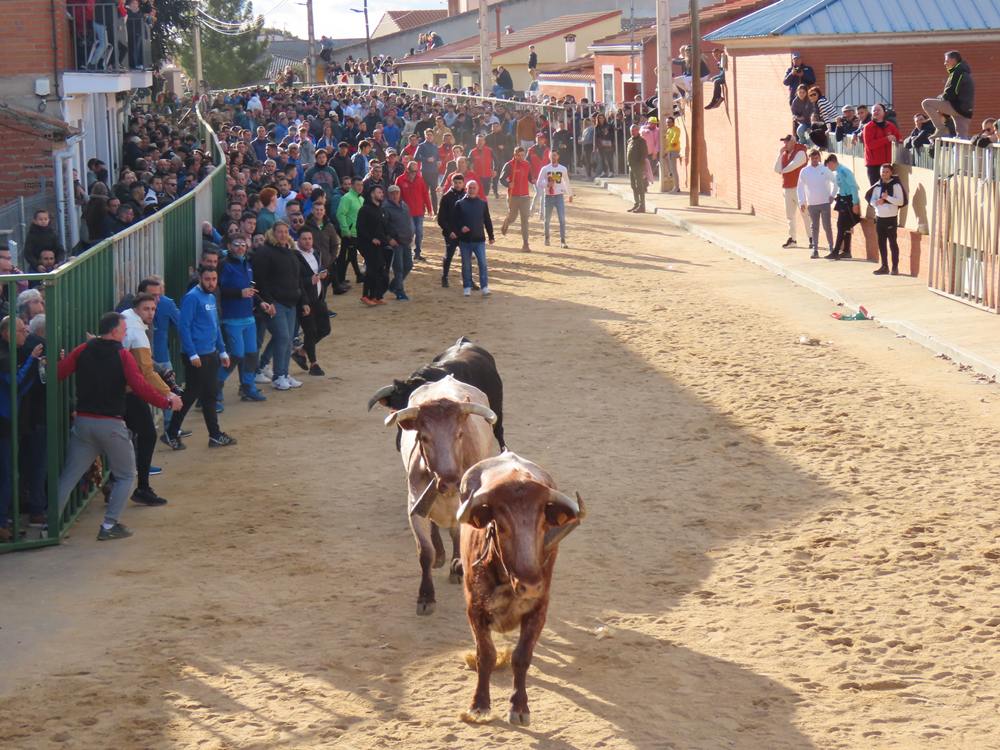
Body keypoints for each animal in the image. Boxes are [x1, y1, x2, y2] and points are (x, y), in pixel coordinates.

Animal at [386, 376, 504, 616]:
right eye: (424, 437)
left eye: (459, 434)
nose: (449, 481)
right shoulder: (415, 507)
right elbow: (425, 552)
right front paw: (425, 596)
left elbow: (459, 535)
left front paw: (458, 566)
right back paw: (441, 555)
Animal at [456, 452, 584, 728]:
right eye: (501, 526)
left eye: (542, 524)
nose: (531, 585)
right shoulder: (474, 610)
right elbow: (486, 655)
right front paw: (479, 705)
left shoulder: (539, 609)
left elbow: (522, 656)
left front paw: (519, 706)